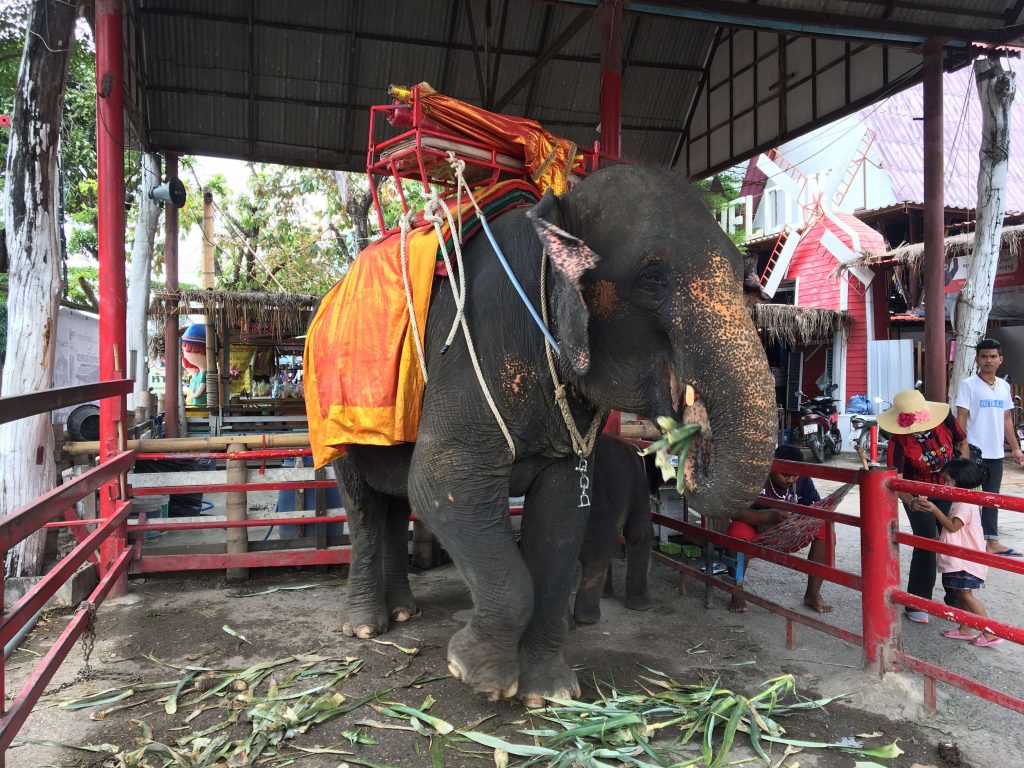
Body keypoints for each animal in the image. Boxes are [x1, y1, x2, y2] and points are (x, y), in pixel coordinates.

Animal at [573, 434, 654, 625]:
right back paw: (587, 618)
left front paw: (606, 595)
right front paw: (644, 607)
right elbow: (639, 533)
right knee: (601, 545)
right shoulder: (638, 483)